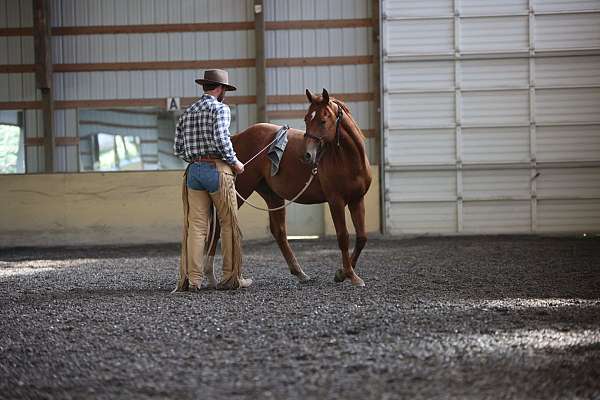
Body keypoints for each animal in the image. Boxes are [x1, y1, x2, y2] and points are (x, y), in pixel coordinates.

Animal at [209, 88, 372, 286]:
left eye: (323, 120)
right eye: (306, 119)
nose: (307, 155)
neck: (348, 160)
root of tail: (235, 138)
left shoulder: (357, 200)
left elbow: (362, 237)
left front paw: (343, 273)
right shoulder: (336, 202)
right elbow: (343, 237)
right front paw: (350, 274)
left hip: (272, 195)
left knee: (279, 232)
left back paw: (299, 272)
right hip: (240, 190)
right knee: (219, 226)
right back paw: (211, 276)